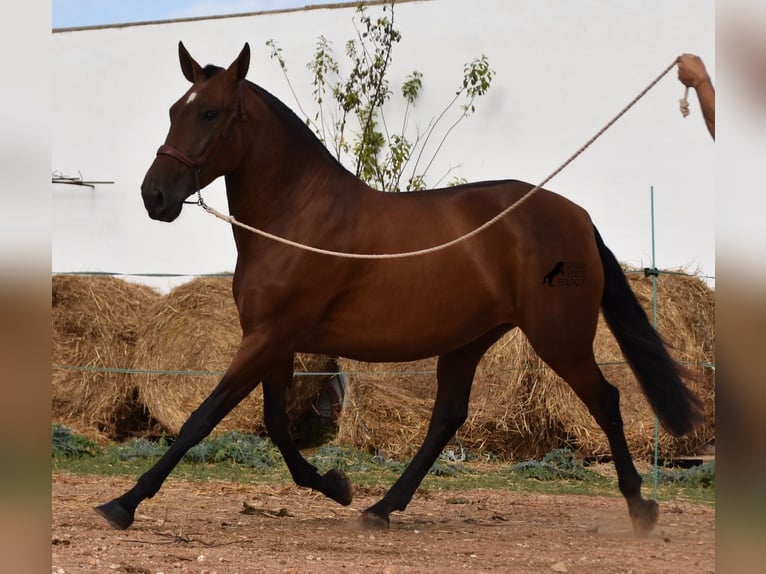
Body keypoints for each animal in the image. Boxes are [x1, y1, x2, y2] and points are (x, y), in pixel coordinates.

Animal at [96, 44, 704, 540]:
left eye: (210, 113)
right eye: (174, 110)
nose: (154, 196)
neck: (297, 215)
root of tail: (576, 216)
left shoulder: (267, 338)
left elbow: (202, 418)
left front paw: (123, 503)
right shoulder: (273, 340)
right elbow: (276, 426)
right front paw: (337, 485)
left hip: (560, 339)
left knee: (607, 401)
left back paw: (639, 509)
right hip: (469, 341)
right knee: (446, 419)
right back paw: (382, 507)